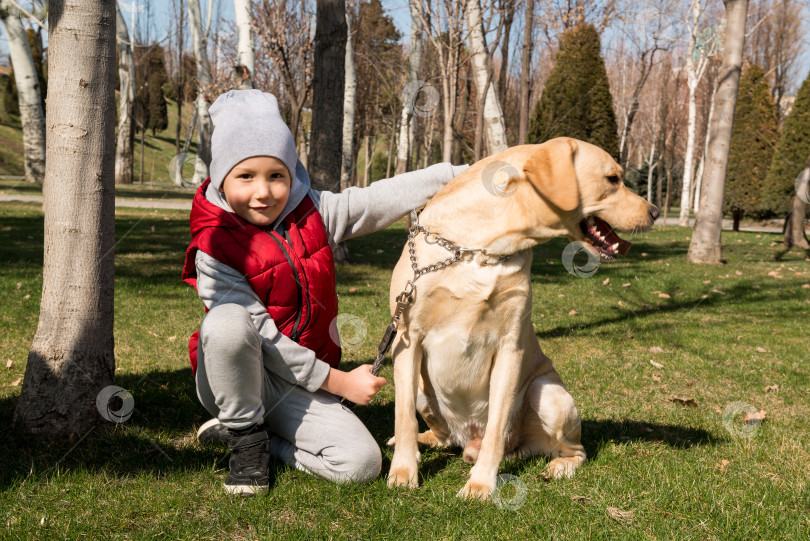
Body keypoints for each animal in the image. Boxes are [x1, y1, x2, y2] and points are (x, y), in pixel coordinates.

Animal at [386, 136, 656, 498]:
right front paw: (403, 472)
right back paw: (422, 441)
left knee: (573, 449)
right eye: (613, 179)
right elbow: (403, 418)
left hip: (548, 392)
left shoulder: (509, 346)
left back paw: (556, 467)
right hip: (418, 385)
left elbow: (496, 429)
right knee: (439, 435)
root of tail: (465, 439)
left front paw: (481, 485)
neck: (479, 248)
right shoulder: (406, 338)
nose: (655, 212)